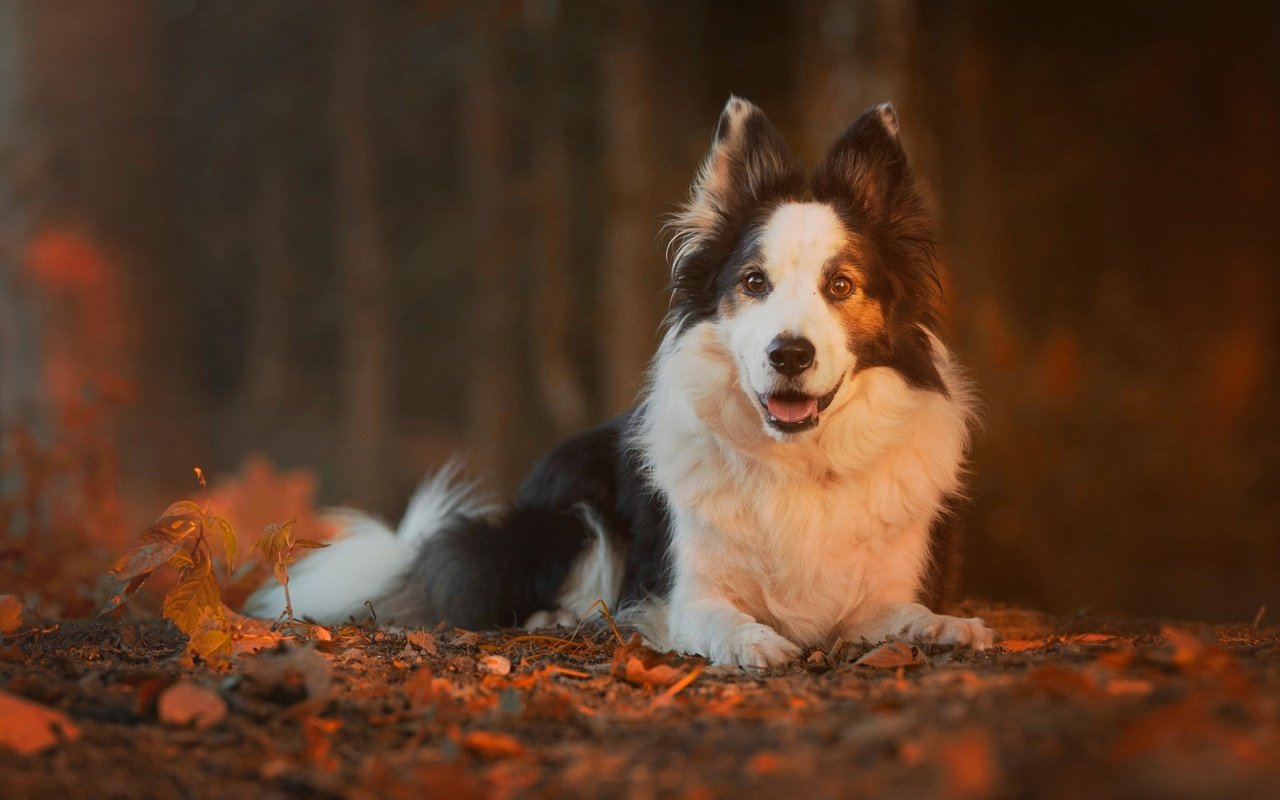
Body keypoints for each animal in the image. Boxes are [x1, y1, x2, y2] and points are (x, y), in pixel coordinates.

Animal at [244, 96, 993, 665]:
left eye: (841, 286)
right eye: (754, 283)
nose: (789, 354)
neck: (798, 461)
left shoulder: (880, 587)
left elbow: (900, 611)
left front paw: (948, 626)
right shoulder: (684, 591)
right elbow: (717, 617)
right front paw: (755, 641)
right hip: (573, 516)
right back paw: (562, 617)